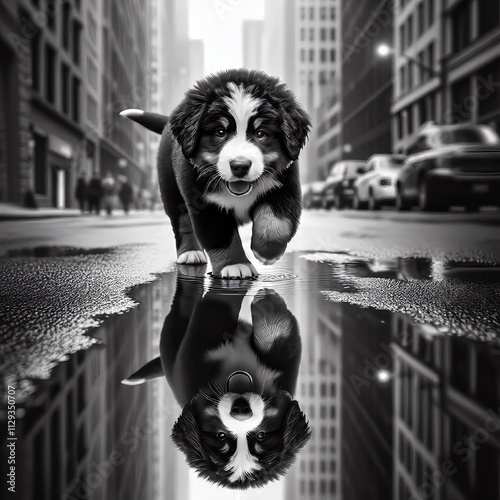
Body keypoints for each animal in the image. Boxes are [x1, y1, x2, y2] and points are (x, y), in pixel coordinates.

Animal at [120, 68, 308, 280]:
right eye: (220, 132)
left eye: (261, 133)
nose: (240, 166)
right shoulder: (206, 202)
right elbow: (221, 237)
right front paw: (235, 264)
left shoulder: (285, 187)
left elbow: (277, 223)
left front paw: (267, 251)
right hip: (171, 190)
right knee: (182, 223)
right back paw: (190, 253)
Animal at [122, 272, 308, 490]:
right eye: (221, 436)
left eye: (261, 435)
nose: (241, 410)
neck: (239, 378)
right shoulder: (191, 361)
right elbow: (213, 312)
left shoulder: (285, 376)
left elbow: (279, 344)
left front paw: (266, 302)